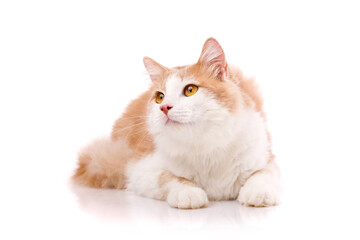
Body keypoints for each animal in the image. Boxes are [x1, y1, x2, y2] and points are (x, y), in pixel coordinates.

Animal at [73, 37, 282, 208]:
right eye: (159, 97)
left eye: (190, 90)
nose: (164, 107)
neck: (205, 146)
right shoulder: (141, 172)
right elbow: (172, 178)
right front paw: (189, 194)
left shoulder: (266, 158)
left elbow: (261, 175)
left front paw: (258, 193)